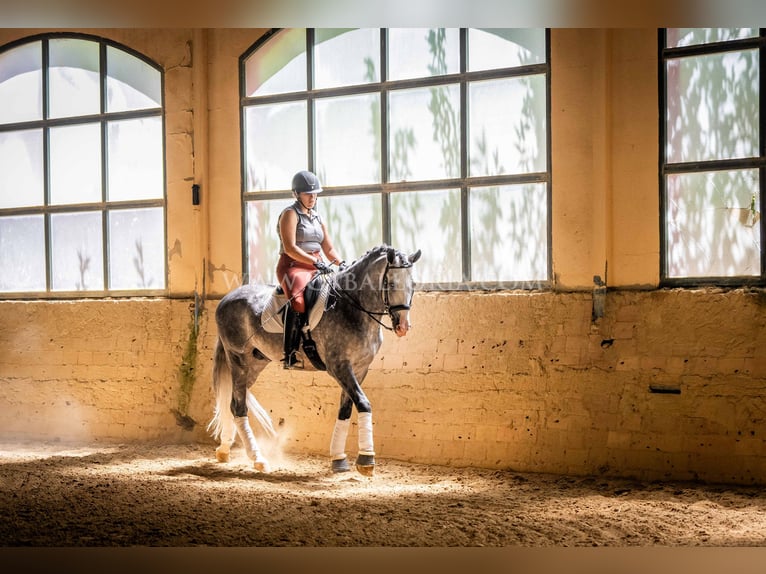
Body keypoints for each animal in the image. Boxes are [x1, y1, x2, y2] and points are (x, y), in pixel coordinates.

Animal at [208, 246, 420, 476]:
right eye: (391, 284)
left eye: (413, 285)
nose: (403, 327)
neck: (352, 307)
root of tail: (226, 299)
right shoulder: (339, 367)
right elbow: (363, 403)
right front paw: (366, 459)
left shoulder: (360, 368)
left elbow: (346, 409)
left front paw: (338, 459)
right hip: (238, 360)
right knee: (238, 406)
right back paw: (258, 459)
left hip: (255, 363)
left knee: (233, 401)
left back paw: (224, 449)